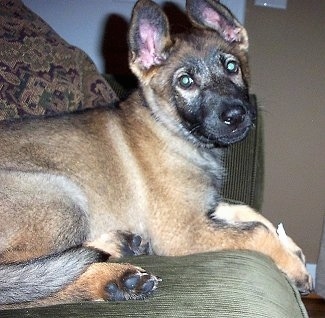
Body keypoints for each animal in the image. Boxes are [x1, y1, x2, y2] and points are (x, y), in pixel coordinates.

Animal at [0, 0, 312, 310]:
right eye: (185, 81)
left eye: (232, 66)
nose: (237, 116)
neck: (171, 131)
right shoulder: (183, 232)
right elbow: (256, 231)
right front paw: (295, 268)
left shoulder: (203, 208)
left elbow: (249, 212)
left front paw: (292, 248)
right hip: (61, 195)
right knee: (24, 282)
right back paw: (115, 280)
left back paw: (121, 245)